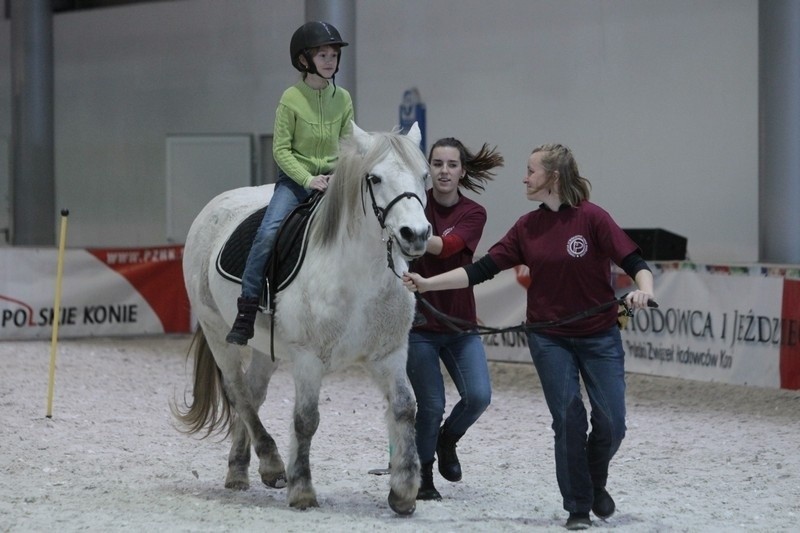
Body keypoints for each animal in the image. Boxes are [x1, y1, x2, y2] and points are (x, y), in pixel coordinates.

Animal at [173, 121, 432, 516]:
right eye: (374, 178)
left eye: (424, 175)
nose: (415, 235)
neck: (358, 277)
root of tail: (213, 207)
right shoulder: (309, 359)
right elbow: (306, 419)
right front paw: (302, 490)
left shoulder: (389, 354)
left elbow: (404, 408)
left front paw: (403, 492)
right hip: (217, 332)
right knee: (238, 393)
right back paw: (271, 464)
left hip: (264, 346)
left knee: (253, 394)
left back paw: (238, 469)